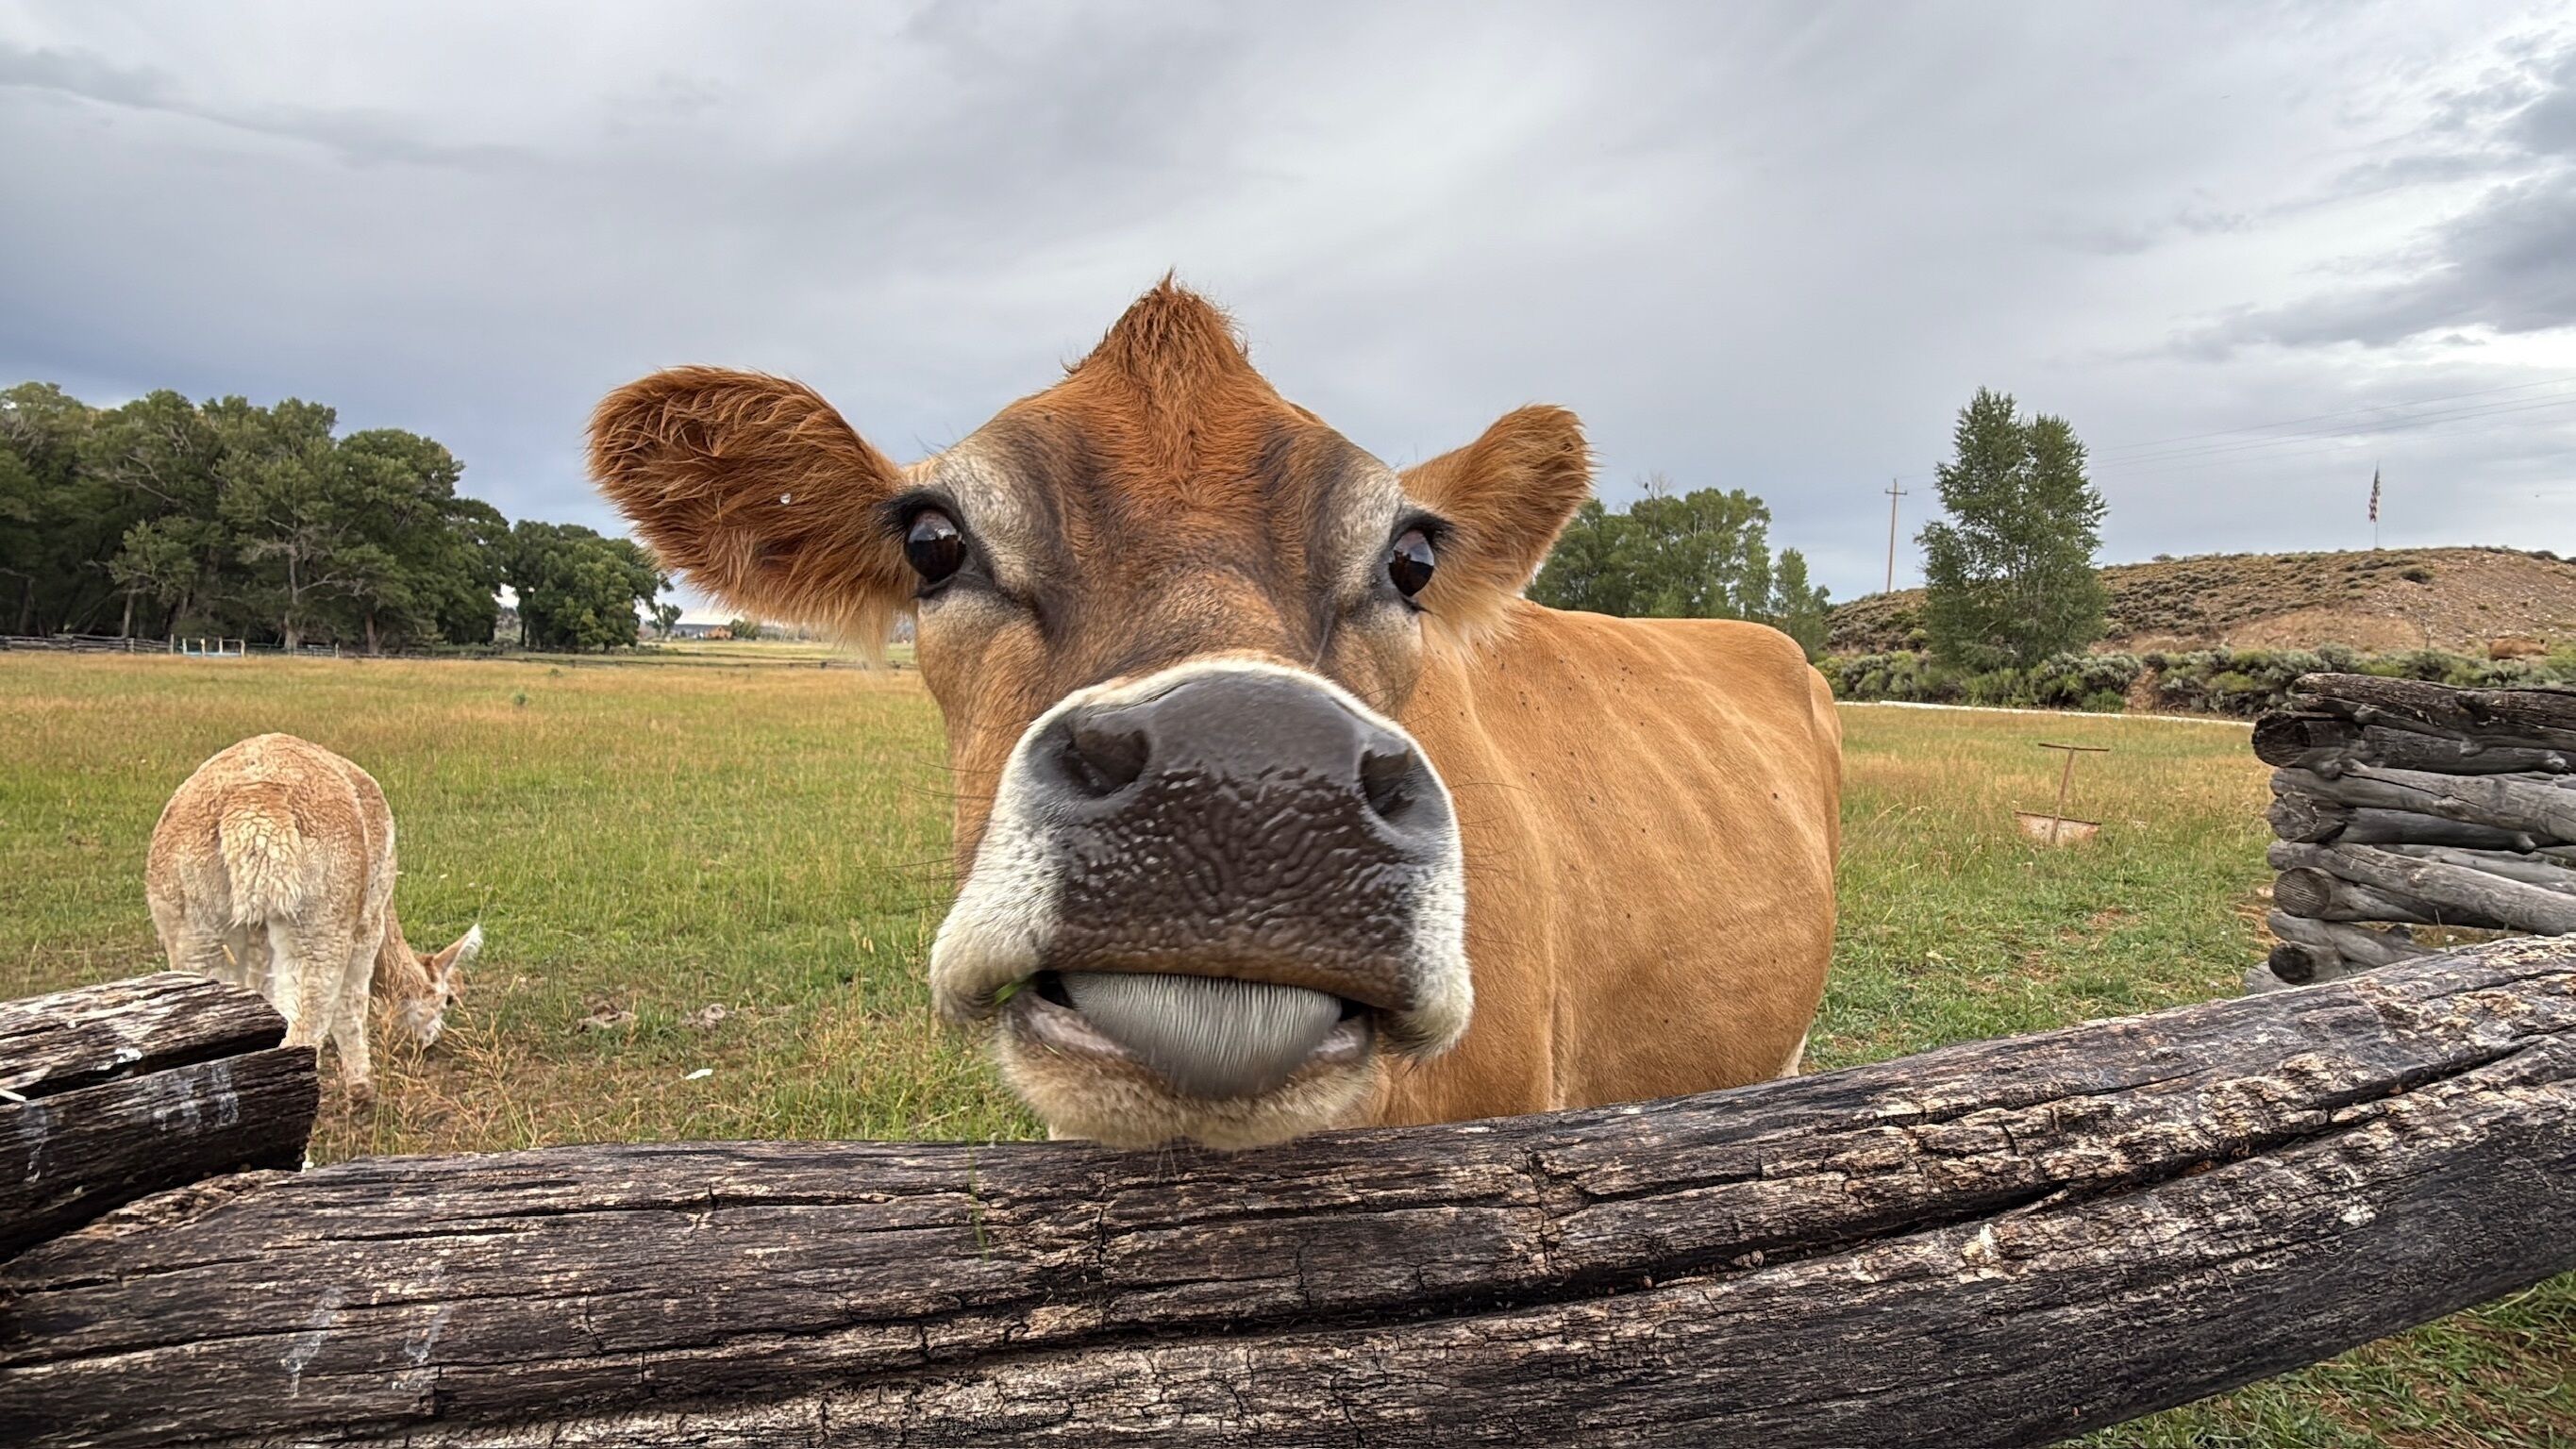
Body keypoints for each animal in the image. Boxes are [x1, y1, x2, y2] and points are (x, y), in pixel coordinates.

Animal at [146, 733, 479, 1099]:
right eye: (449, 999)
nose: (432, 1040)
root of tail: (253, 803)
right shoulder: (370, 917)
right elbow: (351, 1002)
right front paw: (362, 1087)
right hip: (321, 914)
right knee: (309, 1018)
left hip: (193, 921)